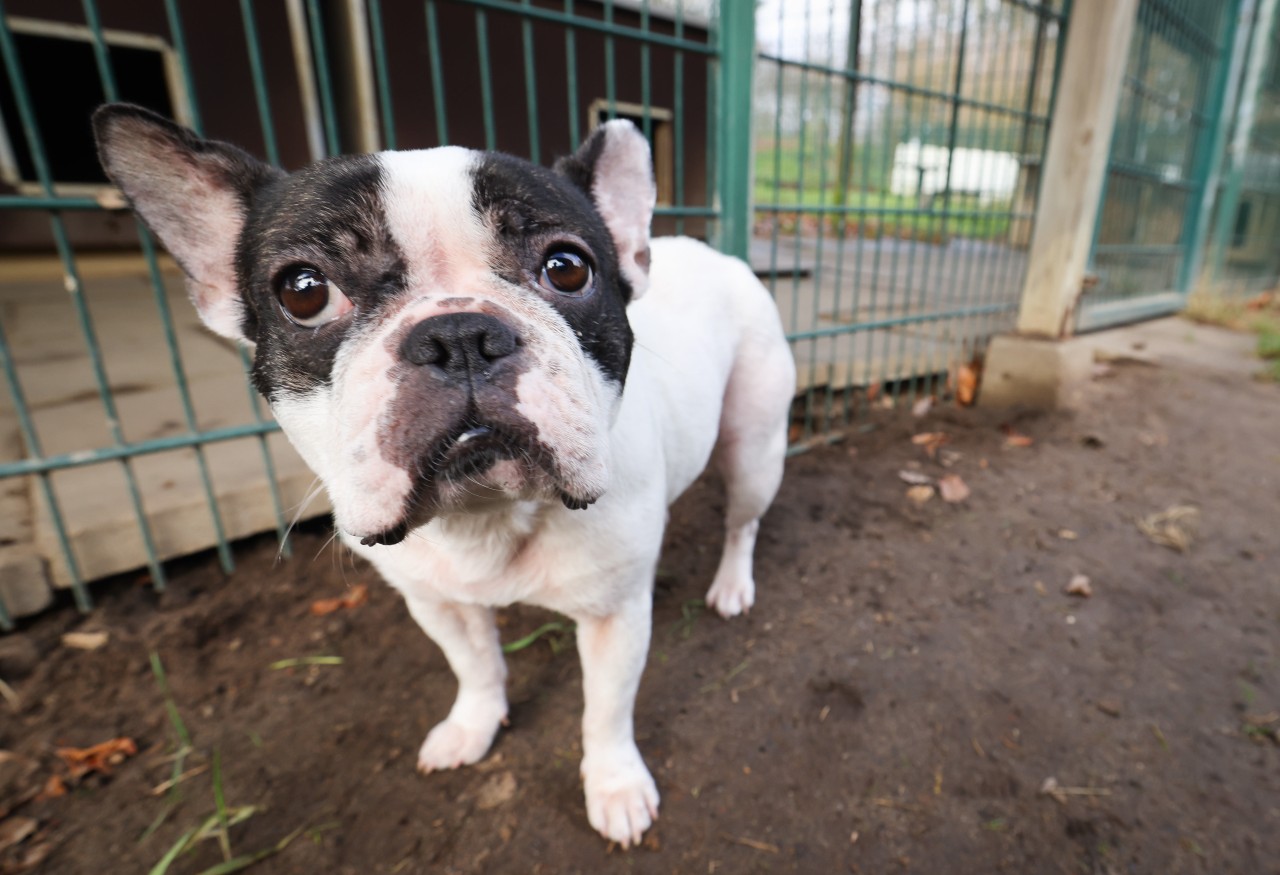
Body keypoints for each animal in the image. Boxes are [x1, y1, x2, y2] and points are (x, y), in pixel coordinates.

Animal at [94, 104, 793, 849]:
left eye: (567, 268)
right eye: (304, 292)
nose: (458, 334)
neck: (485, 515)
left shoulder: (615, 615)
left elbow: (606, 710)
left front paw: (614, 786)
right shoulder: (435, 602)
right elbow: (475, 666)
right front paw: (472, 726)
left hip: (755, 445)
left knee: (743, 519)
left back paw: (731, 585)